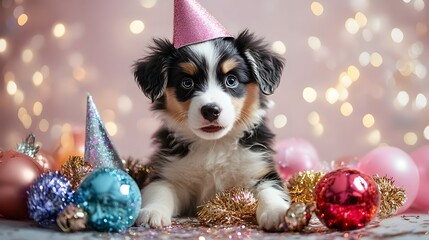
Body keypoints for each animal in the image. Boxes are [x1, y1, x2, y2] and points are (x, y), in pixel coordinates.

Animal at [132, 30, 290, 231]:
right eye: (187, 83)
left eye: (231, 80)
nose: (210, 110)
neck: (214, 145)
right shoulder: (168, 172)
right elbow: (159, 190)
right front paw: (152, 212)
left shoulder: (261, 170)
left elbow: (271, 190)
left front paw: (278, 212)